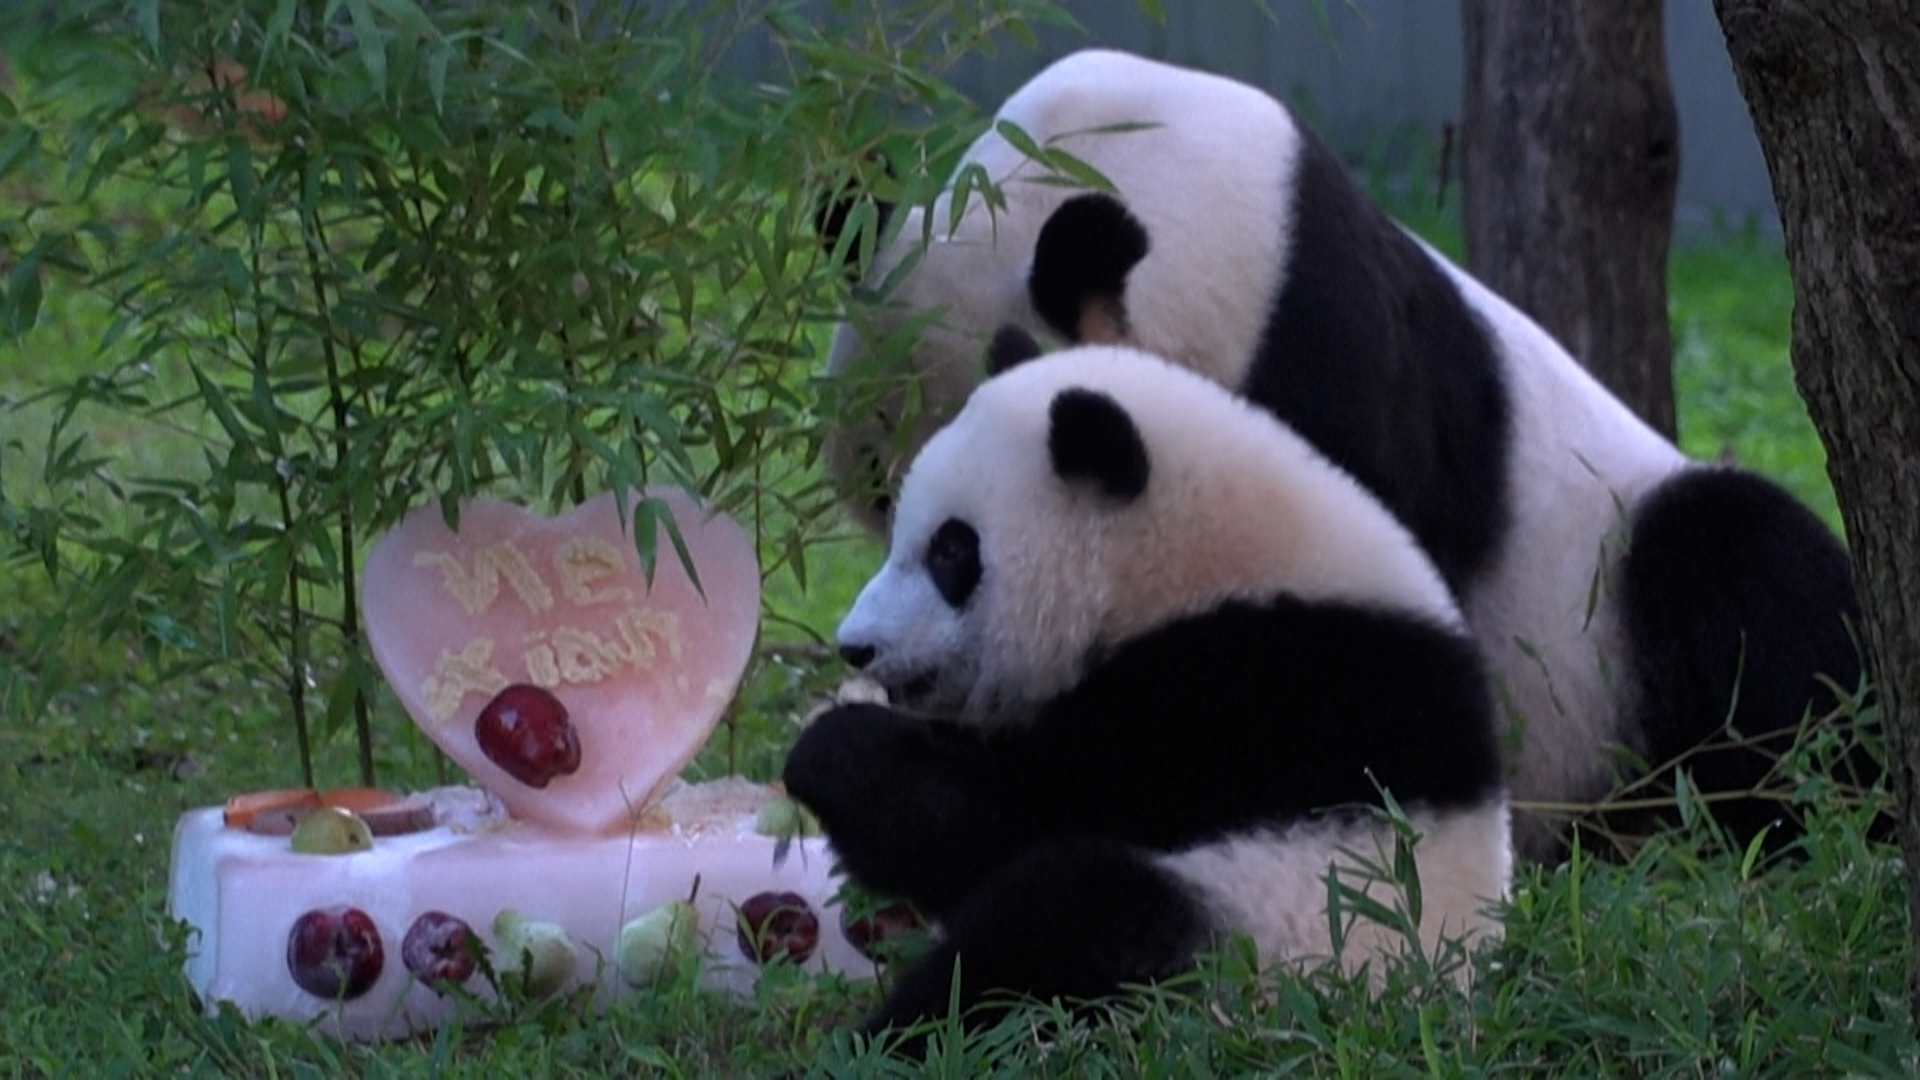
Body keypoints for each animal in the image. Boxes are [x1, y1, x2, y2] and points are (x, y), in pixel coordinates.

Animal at [783, 331, 1512, 1047]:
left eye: (951, 552)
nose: (857, 646)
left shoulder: (1237, 688)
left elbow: (1005, 813)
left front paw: (829, 742)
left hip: (1283, 944)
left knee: (1071, 921)